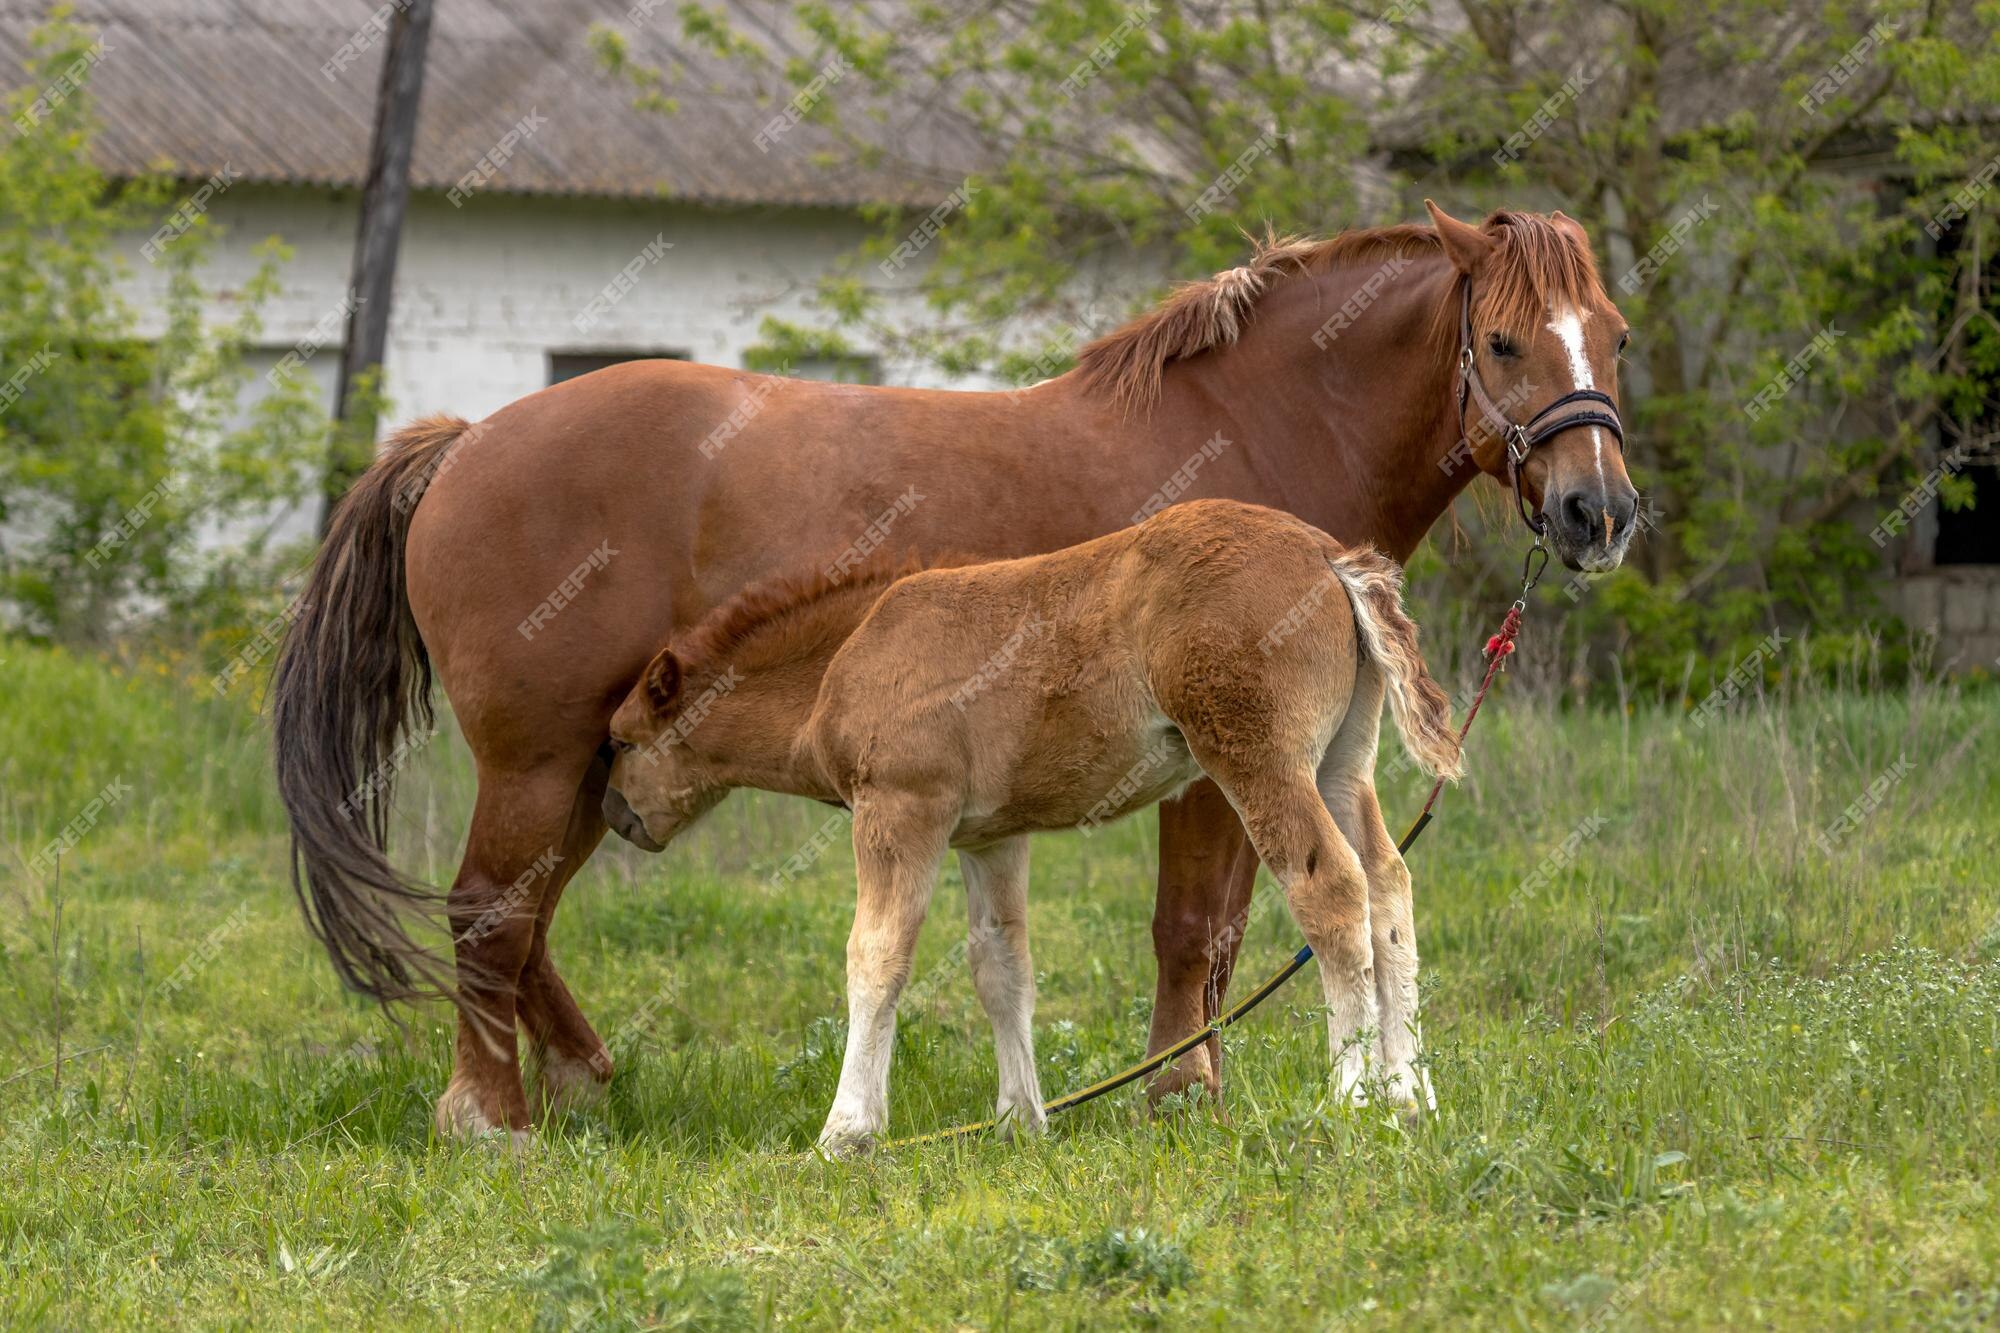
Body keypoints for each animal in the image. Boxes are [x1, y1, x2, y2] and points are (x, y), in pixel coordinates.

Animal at [270, 202, 1640, 1136]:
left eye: (1613, 337)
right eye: (1502, 341)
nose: (1598, 513)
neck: (1249, 426)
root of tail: (465, 441)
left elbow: (1211, 935)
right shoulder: (1211, 774)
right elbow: (1193, 930)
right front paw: (1179, 1093)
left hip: (587, 773)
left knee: (523, 917)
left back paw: (575, 1080)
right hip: (542, 758)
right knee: (486, 911)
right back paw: (489, 1117)